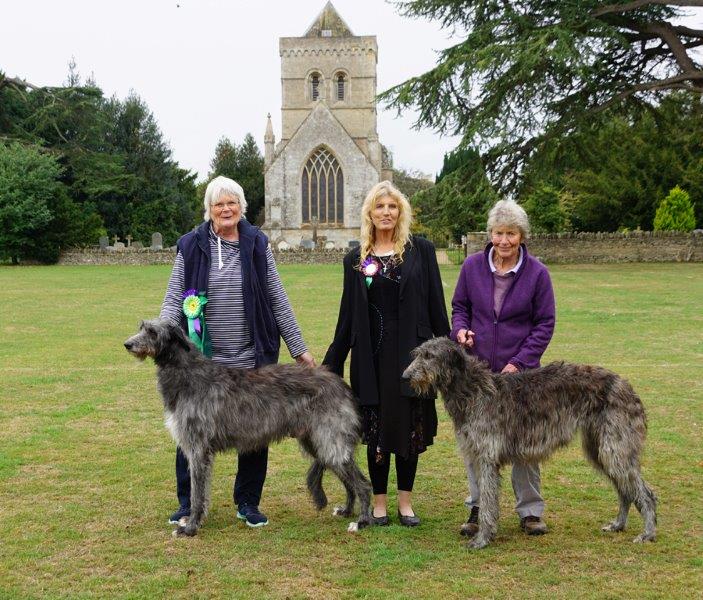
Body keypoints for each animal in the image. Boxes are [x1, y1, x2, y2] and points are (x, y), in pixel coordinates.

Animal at [124, 322, 374, 536]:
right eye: (141, 327)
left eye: (152, 332)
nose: (127, 344)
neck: (188, 374)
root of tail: (343, 386)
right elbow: (201, 492)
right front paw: (194, 522)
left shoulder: (198, 449)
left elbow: (197, 494)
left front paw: (191, 528)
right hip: (318, 442)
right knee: (349, 481)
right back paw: (347, 511)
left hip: (330, 440)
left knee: (362, 484)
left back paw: (361, 521)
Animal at [404, 338, 656, 548]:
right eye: (417, 354)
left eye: (430, 356)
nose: (405, 377)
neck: (473, 390)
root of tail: (627, 387)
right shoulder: (475, 454)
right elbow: (484, 499)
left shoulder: (487, 457)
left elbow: (488, 501)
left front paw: (482, 539)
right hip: (600, 449)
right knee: (625, 491)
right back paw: (618, 525)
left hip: (615, 448)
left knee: (645, 493)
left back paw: (648, 533)